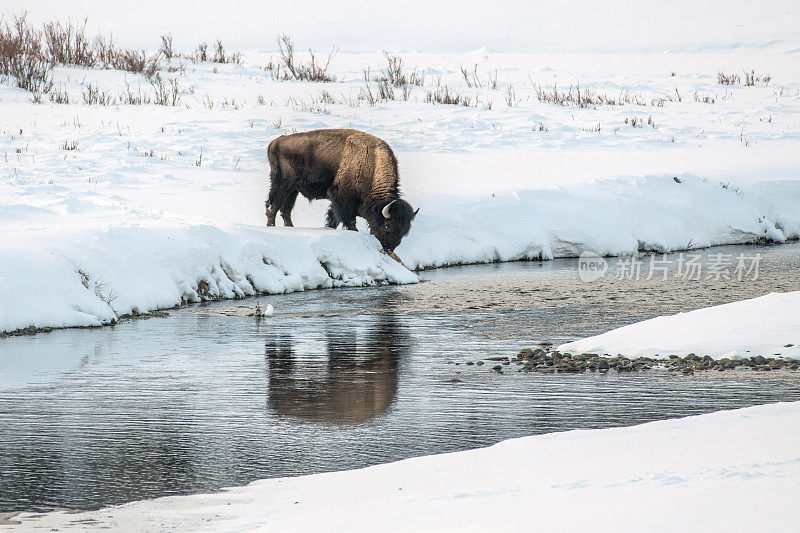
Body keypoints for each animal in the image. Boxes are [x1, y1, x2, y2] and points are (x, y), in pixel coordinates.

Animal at [268, 129, 418, 254]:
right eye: (387, 226)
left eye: (404, 230)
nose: (388, 249)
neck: (371, 164)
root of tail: (275, 142)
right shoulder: (341, 198)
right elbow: (349, 220)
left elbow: (333, 218)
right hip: (283, 184)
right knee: (273, 206)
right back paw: (271, 226)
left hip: (293, 190)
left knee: (285, 210)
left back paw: (289, 227)